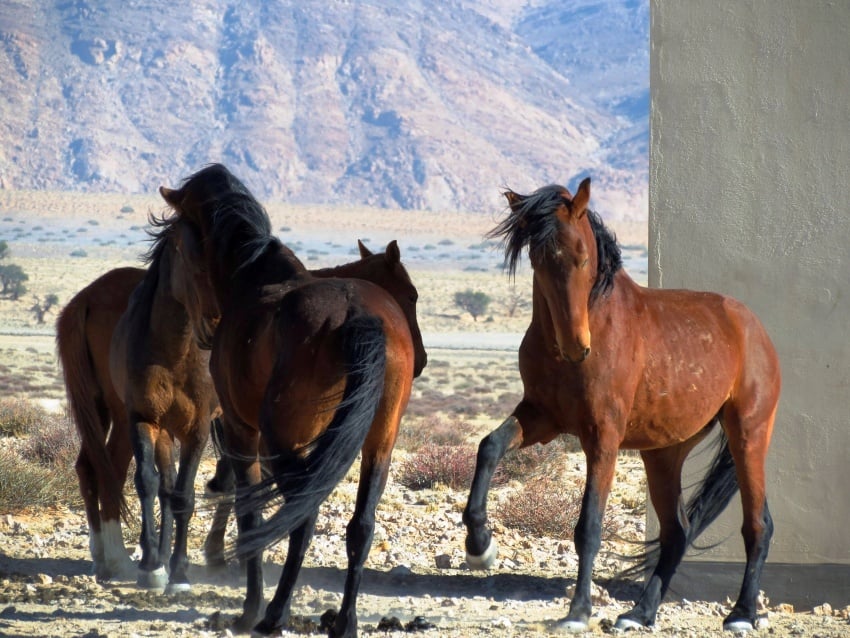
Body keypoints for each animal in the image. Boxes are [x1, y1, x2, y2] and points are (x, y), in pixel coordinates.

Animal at [159, 162, 421, 638]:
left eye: (179, 241)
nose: (204, 329)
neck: (255, 277)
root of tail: (358, 316)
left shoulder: (243, 432)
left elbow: (249, 513)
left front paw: (248, 604)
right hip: (379, 444)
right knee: (361, 525)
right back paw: (345, 621)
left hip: (284, 442)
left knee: (302, 513)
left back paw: (271, 615)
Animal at [462, 178, 780, 633]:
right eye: (539, 260)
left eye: (582, 257)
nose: (576, 346)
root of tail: (752, 325)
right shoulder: (541, 417)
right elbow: (489, 447)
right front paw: (480, 546)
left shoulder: (602, 437)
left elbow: (589, 526)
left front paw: (578, 611)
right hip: (664, 453)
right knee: (677, 532)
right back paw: (639, 613)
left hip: (748, 435)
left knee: (758, 525)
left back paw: (741, 614)